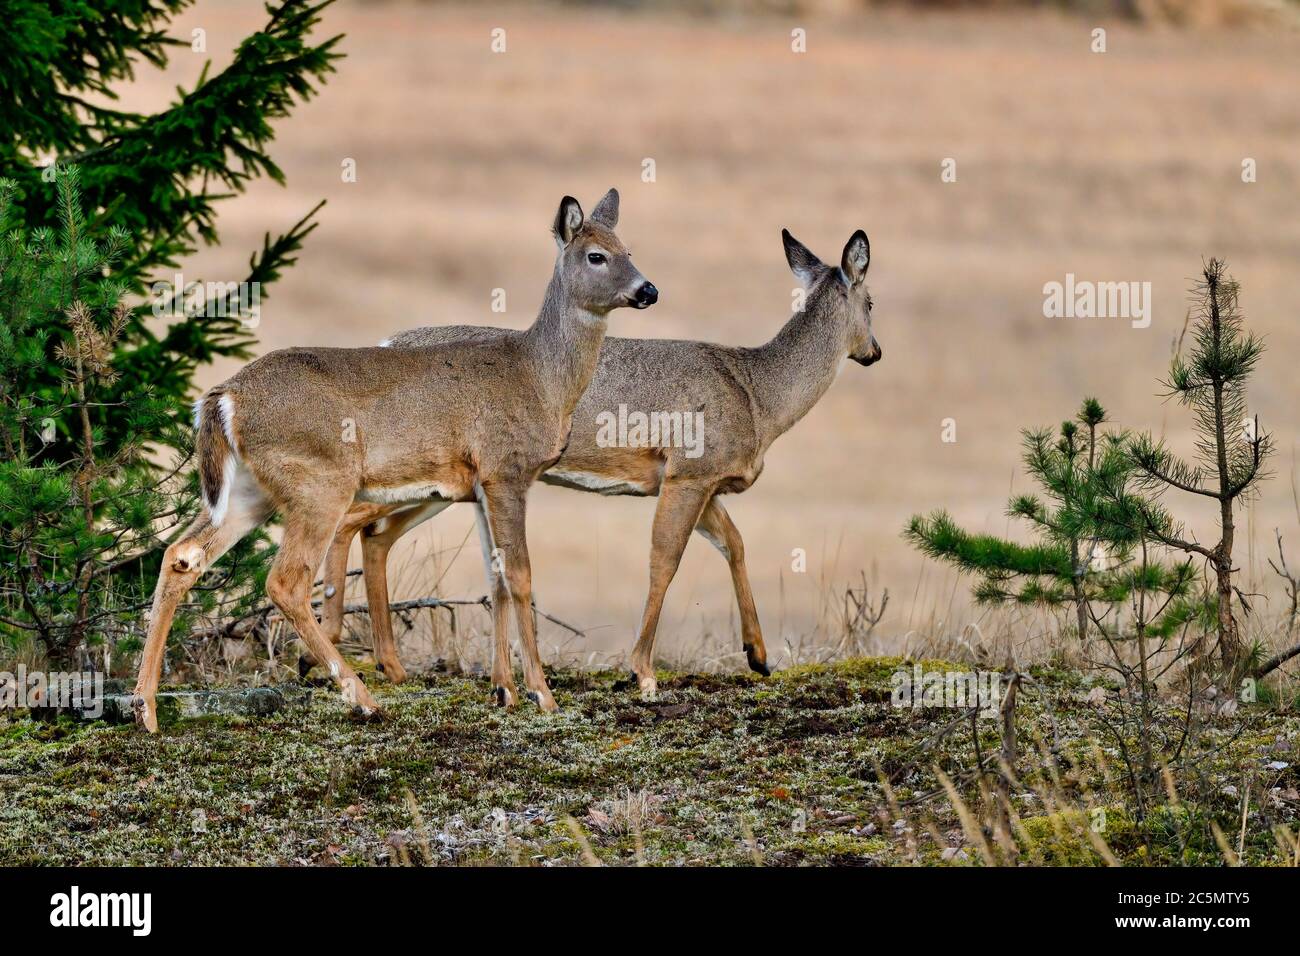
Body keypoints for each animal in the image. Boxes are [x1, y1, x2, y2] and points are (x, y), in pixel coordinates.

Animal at [129, 188, 660, 733]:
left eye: (629, 249)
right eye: (596, 256)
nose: (649, 290)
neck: (541, 378)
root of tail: (224, 397)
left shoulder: (479, 485)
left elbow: (495, 578)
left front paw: (505, 691)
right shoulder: (506, 469)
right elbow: (520, 576)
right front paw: (542, 695)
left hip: (248, 491)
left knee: (182, 556)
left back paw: (145, 707)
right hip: (320, 480)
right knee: (286, 580)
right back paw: (362, 697)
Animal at [318, 227, 878, 697]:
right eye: (871, 301)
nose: (874, 351)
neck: (758, 396)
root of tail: (387, 340)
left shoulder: (694, 481)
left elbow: (734, 544)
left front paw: (758, 655)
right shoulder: (689, 471)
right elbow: (665, 561)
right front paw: (642, 670)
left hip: (444, 486)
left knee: (376, 535)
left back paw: (388, 665)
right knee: (351, 522)